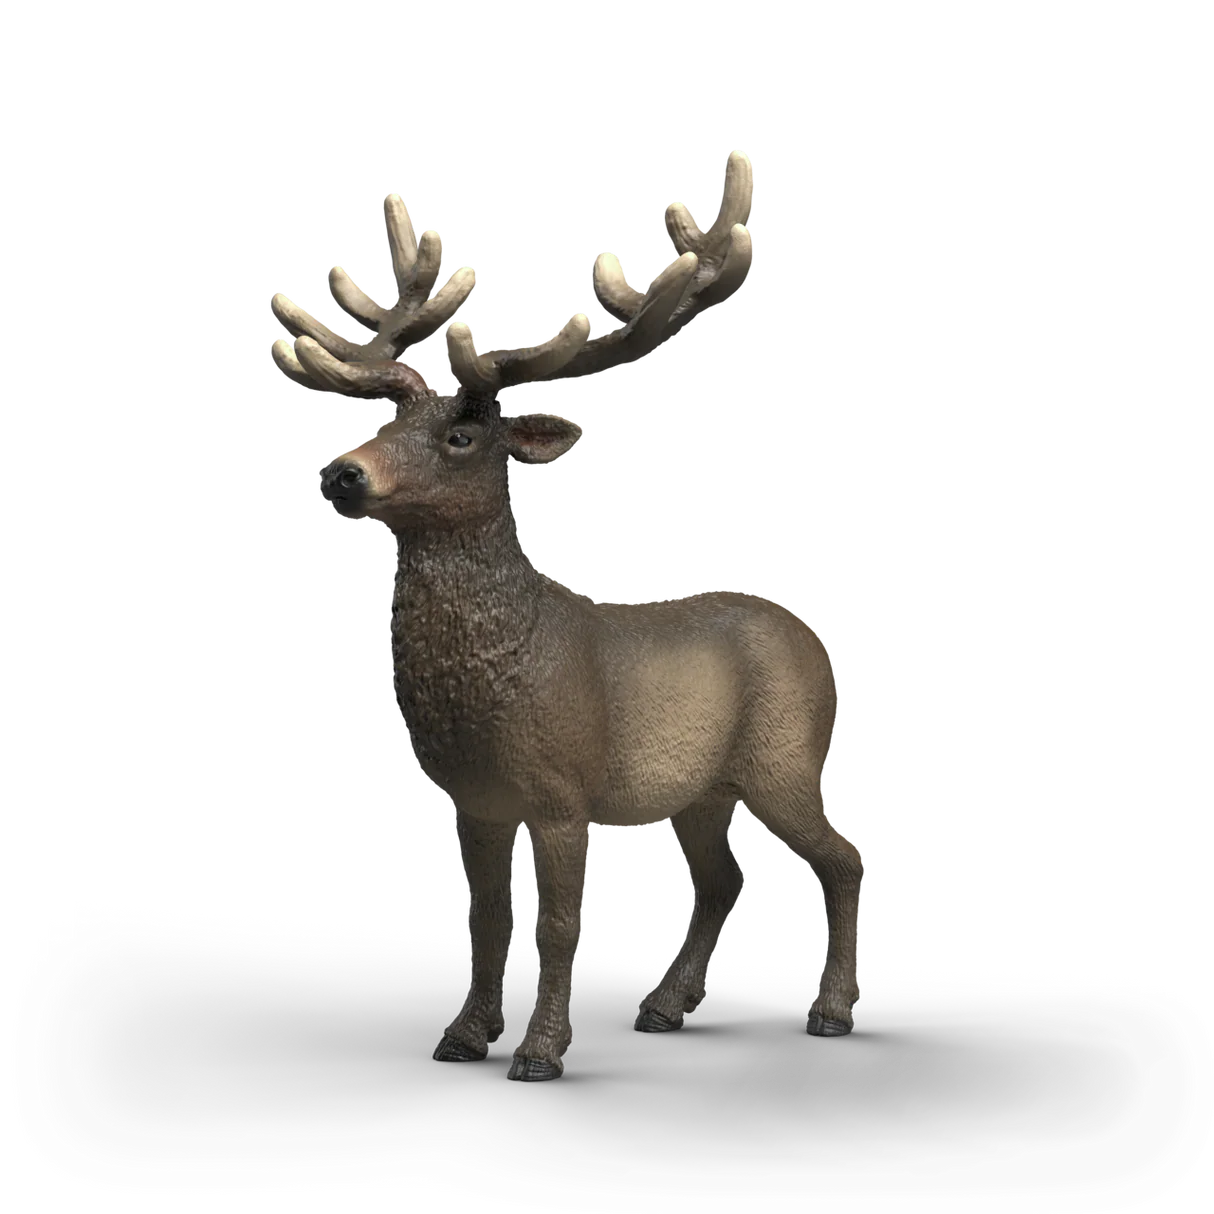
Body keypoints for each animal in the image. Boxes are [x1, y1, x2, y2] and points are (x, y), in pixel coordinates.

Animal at [274, 148, 863, 1080]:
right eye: (390, 416)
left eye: (463, 437)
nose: (343, 471)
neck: (504, 676)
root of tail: (815, 638)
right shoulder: (473, 801)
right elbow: (483, 924)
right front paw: (464, 1034)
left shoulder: (563, 794)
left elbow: (555, 928)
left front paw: (540, 1051)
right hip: (699, 788)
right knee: (724, 879)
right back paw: (662, 1005)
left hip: (786, 757)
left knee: (844, 858)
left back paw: (831, 1008)